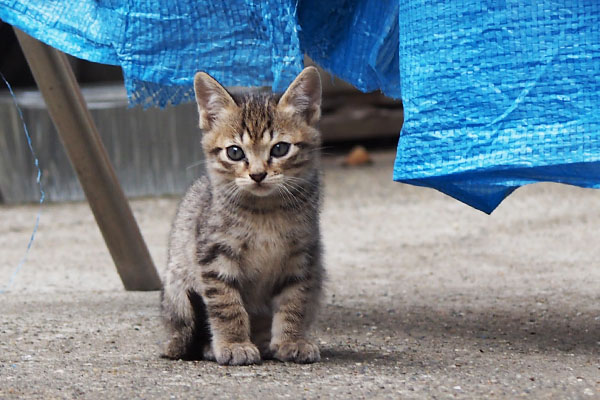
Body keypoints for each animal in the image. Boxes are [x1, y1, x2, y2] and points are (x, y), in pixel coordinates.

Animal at [161, 67, 324, 364]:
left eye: (280, 148)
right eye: (234, 152)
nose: (258, 175)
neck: (265, 211)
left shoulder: (303, 256)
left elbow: (294, 301)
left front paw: (291, 340)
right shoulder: (214, 255)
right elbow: (226, 305)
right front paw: (233, 343)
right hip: (177, 287)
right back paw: (204, 345)